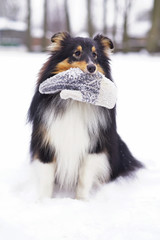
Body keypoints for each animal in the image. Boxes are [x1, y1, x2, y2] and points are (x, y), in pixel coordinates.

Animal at [27, 31, 142, 200]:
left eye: (95, 55)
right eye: (77, 53)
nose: (92, 68)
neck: (74, 100)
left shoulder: (94, 147)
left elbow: (84, 178)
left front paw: (80, 201)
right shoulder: (46, 142)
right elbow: (46, 179)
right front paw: (43, 202)